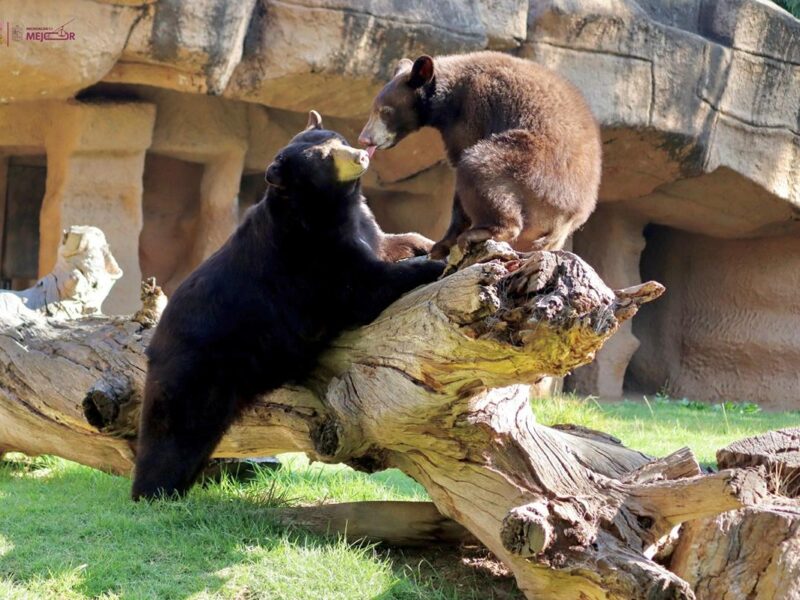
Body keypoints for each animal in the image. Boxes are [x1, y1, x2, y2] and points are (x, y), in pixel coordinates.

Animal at [131, 112, 444, 502]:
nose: (361, 155)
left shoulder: (355, 227)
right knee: (173, 433)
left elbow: (388, 241)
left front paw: (429, 244)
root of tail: (155, 343)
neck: (328, 208)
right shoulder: (309, 255)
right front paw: (432, 266)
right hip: (196, 370)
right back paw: (154, 491)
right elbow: (362, 287)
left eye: (338, 141)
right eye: (326, 158)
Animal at [360, 51, 604, 258]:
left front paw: (442, 244)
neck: (449, 99)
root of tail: (570, 218)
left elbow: (462, 160)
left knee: (480, 167)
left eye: (385, 111)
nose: (365, 138)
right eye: (373, 108)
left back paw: (481, 233)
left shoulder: (475, 110)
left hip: (534, 171)